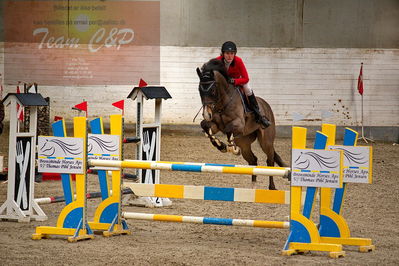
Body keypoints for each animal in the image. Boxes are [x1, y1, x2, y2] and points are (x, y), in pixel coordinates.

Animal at [196, 59, 288, 190]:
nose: (206, 114)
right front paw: (220, 145)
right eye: (199, 90)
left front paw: (230, 147)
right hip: (244, 143)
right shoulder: (216, 125)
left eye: (213, 90)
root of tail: (266, 105)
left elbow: (228, 129)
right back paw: (253, 186)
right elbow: (205, 126)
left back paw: (272, 187)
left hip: (266, 141)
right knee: (253, 161)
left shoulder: (238, 124)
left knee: (269, 161)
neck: (223, 102)